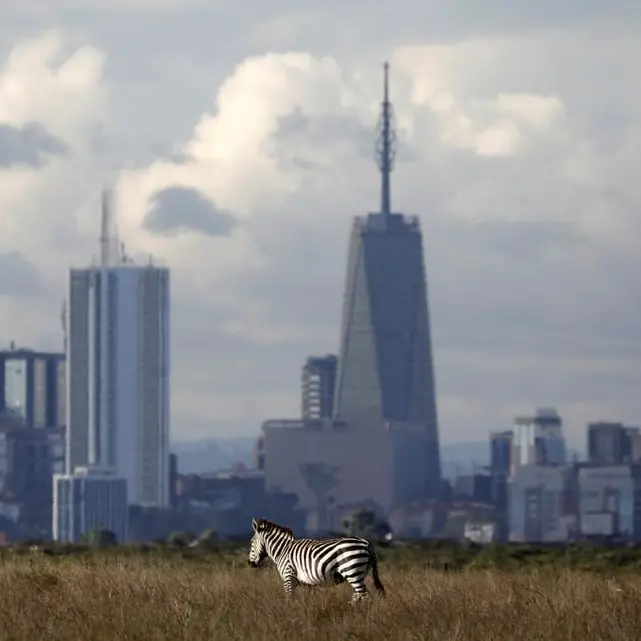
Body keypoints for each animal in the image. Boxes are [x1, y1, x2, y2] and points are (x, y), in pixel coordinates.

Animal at [245, 516, 384, 604]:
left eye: (251, 542)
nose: (249, 563)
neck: (282, 550)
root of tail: (366, 542)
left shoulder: (288, 577)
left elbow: (289, 599)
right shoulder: (308, 583)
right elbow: (308, 600)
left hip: (352, 570)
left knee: (364, 595)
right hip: (359, 572)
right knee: (358, 594)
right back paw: (351, 607)